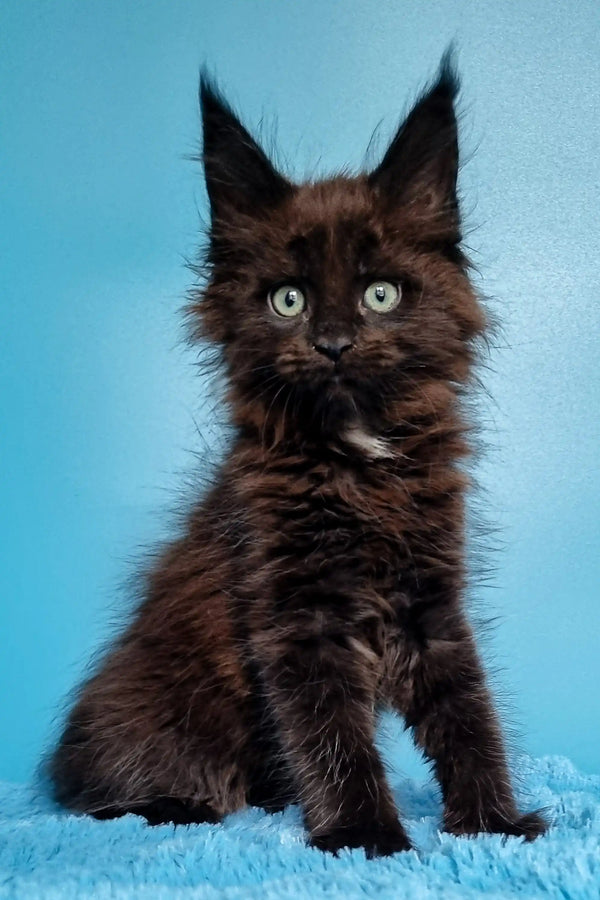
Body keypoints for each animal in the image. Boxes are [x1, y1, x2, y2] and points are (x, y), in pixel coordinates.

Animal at [49, 56, 548, 856]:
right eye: (288, 300)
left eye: (381, 294)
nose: (334, 343)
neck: (359, 463)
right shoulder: (296, 612)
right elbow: (332, 734)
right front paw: (365, 834)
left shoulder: (431, 601)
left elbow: (470, 715)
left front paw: (492, 826)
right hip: (152, 717)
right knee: (114, 790)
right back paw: (181, 803)